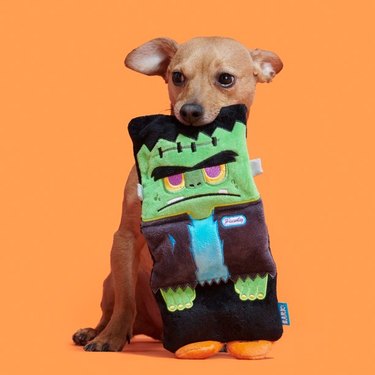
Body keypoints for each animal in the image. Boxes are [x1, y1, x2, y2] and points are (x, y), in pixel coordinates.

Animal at [73, 36, 284, 360]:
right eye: (177, 76)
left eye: (225, 79)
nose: (190, 110)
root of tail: (156, 333)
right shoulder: (125, 239)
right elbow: (125, 302)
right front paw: (110, 336)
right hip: (109, 280)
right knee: (114, 307)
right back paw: (96, 331)